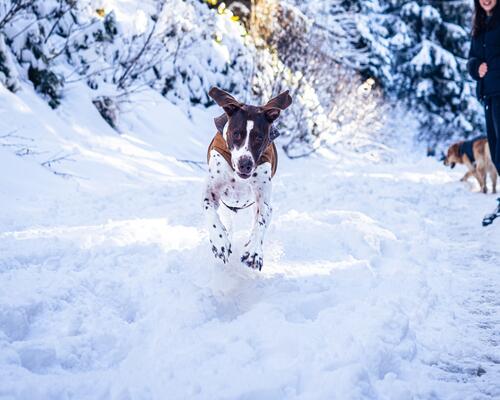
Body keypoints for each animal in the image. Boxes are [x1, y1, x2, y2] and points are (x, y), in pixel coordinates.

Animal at [201, 86, 292, 270]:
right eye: (236, 134)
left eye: (259, 137)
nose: (245, 164)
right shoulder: (212, 192)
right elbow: (210, 212)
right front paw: (220, 242)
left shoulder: (263, 200)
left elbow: (260, 223)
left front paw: (254, 252)